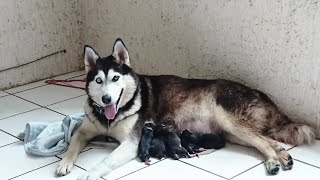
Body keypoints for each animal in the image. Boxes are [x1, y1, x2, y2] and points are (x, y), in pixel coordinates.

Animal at [56, 38, 316, 179]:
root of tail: (261, 94)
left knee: (264, 142)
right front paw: (64, 163)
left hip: (231, 122)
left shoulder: (131, 142)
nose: (107, 99)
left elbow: (106, 161)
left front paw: (89, 172)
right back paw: (281, 157)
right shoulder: (85, 130)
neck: (111, 117)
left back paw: (273, 161)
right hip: (233, 133)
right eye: (99, 80)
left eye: (116, 78)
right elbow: (73, 144)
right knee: (268, 141)